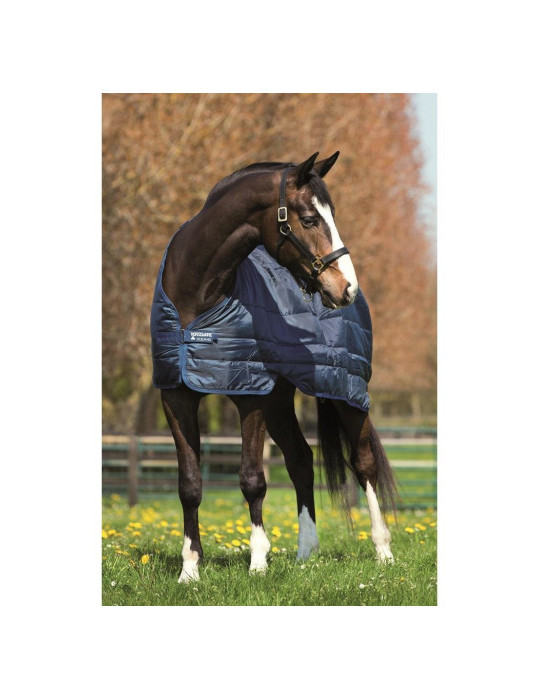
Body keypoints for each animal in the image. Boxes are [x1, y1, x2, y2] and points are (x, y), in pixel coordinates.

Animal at [151, 152, 398, 583]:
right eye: (310, 219)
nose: (346, 288)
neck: (196, 298)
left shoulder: (250, 395)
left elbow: (252, 479)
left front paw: (258, 564)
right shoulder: (176, 395)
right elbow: (189, 484)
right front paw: (190, 569)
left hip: (346, 390)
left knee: (364, 463)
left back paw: (383, 551)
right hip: (281, 402)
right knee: (301, 461)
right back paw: (305, 553)